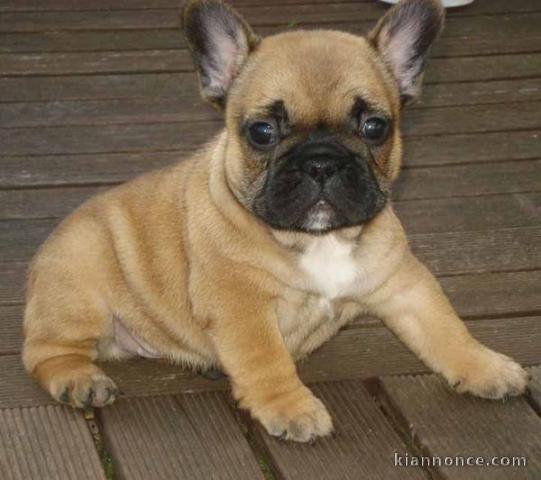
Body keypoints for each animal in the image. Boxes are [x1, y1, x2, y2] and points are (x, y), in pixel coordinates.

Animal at [22, 0, 528, 442]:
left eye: (375, 127)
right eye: (262, 132)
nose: (322, 161)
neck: (317, 239)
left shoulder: (404, 283)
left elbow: (445, 328)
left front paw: (485, 366)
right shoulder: (240, 305)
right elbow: (266, 360)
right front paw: (290, 408)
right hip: (79, 289)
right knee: (43, 351)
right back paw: (79, 379)